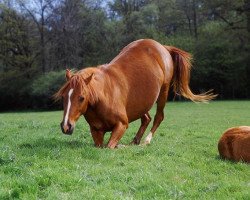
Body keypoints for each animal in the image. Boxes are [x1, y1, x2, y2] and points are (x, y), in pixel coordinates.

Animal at [55, 39, 217, 148]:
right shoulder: (96, 131)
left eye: (81, 98)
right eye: (63, 97)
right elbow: (101, 145)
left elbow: (110, 146)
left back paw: (146, 141)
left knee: (158, 117)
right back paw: (135, 141)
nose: (66, 126)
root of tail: (163, 47)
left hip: (163, 93)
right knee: (146, 118)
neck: (103, 95)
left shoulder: (121, 125)